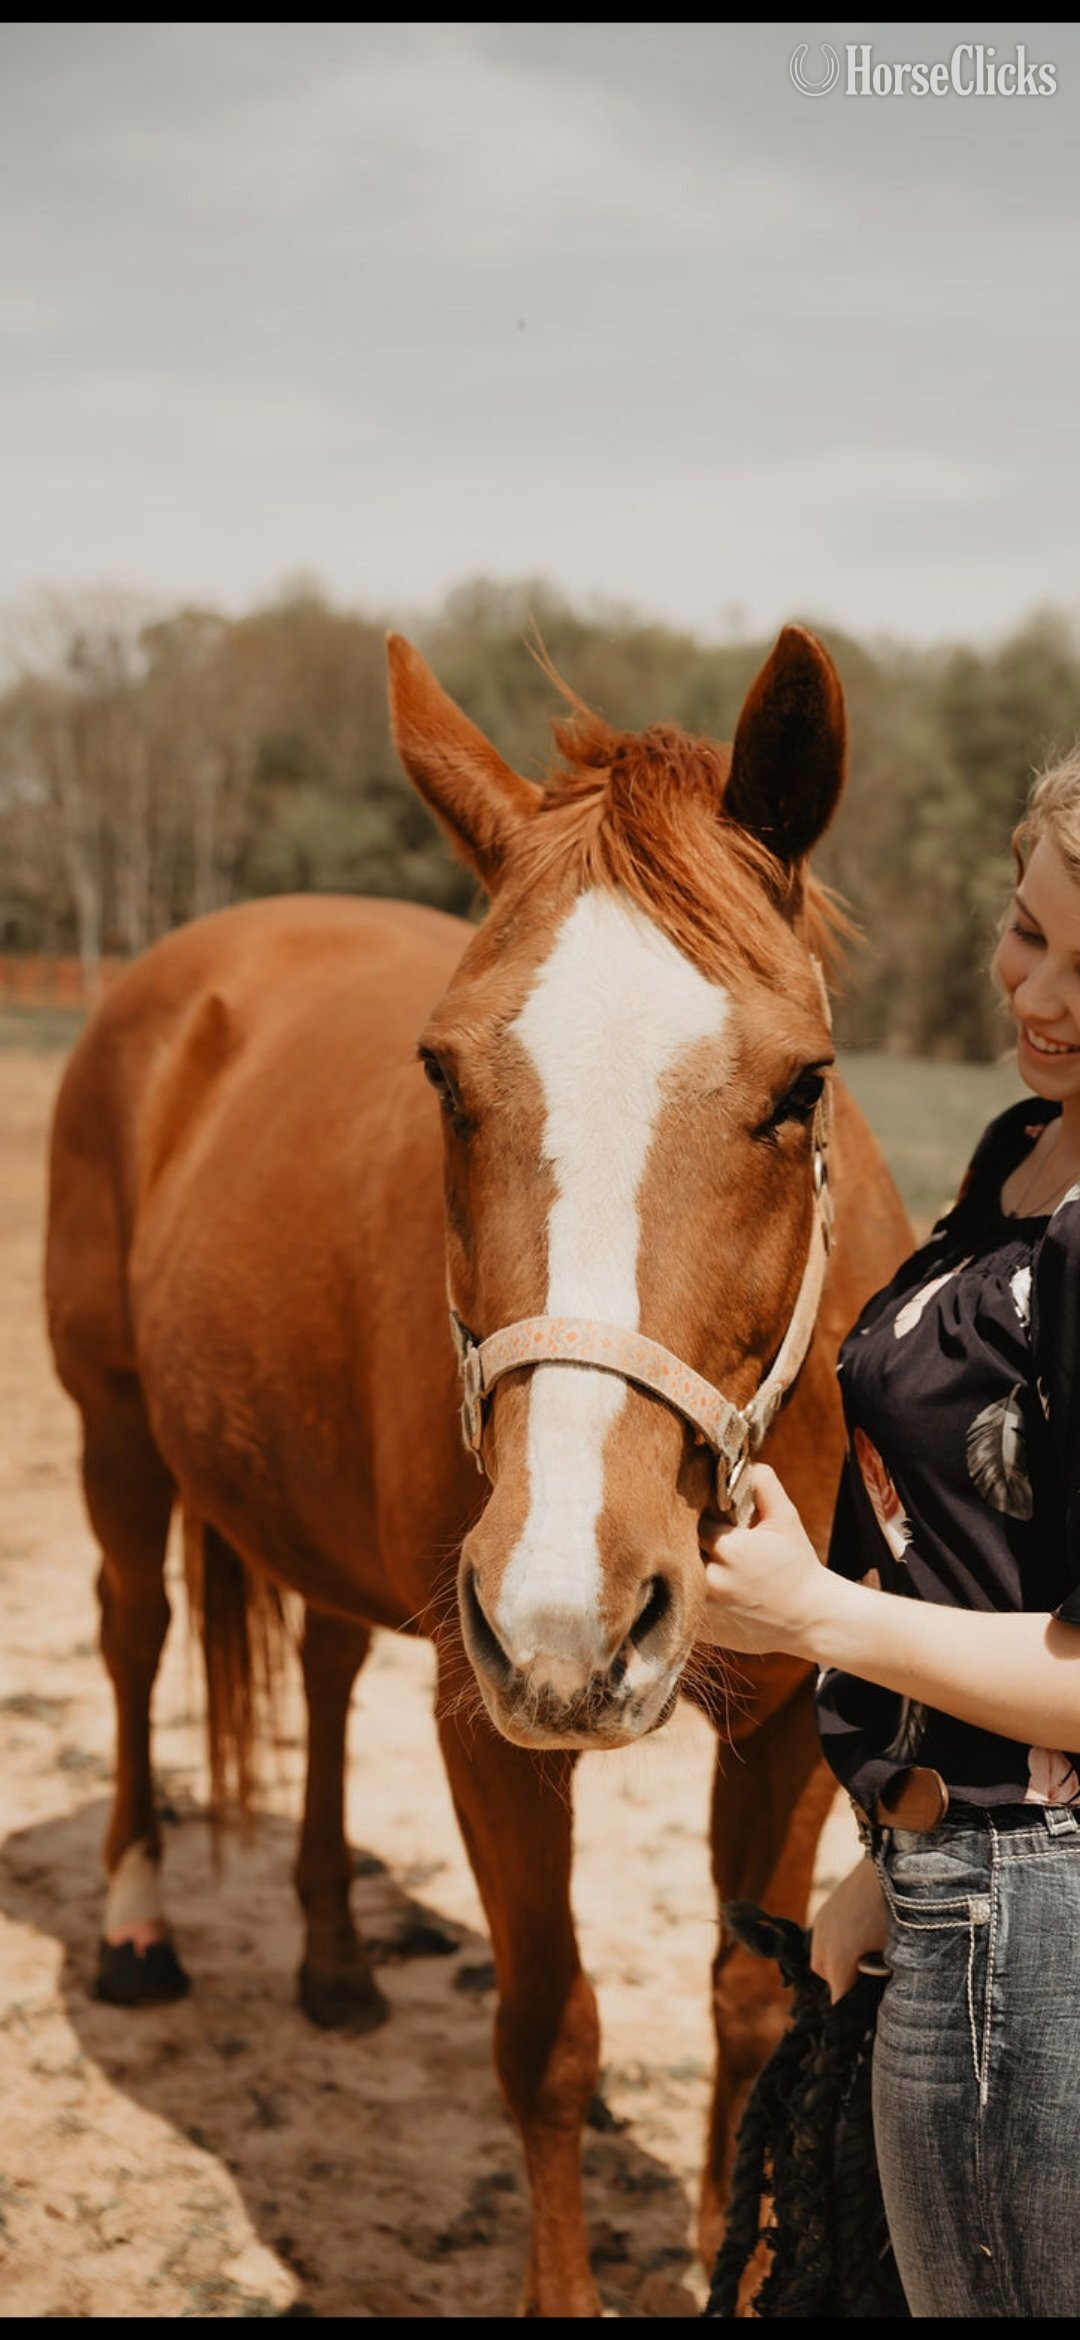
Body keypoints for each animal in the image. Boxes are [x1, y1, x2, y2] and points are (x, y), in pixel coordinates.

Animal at [44, 621, 911, 2317]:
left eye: (801, 1088)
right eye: (443, 1078)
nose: (575, 1606)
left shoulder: (785, 1726)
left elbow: (747, 2002)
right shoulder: (488, 1708)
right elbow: (548, 2032)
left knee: (317, 1674)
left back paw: (332, 1959)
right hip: (115, 1431)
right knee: (134, 1640)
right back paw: (138, 1928)